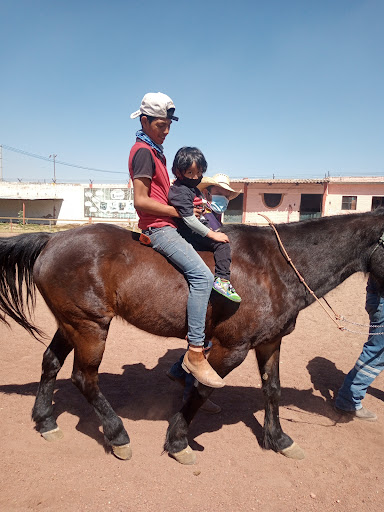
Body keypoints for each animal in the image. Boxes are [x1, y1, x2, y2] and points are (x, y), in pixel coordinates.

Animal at [0, 208, 384, 464]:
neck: (274, 266)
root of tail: (52, 239)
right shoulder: (231, 348)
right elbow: (201, 388)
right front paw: (178, 441)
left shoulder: (270, 342)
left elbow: (271, 390)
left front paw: (279, 439)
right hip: (90, 327)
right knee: (84, 377)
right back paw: (117, 434)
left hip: (72, 323)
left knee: (50, 362)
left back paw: (46, 420)